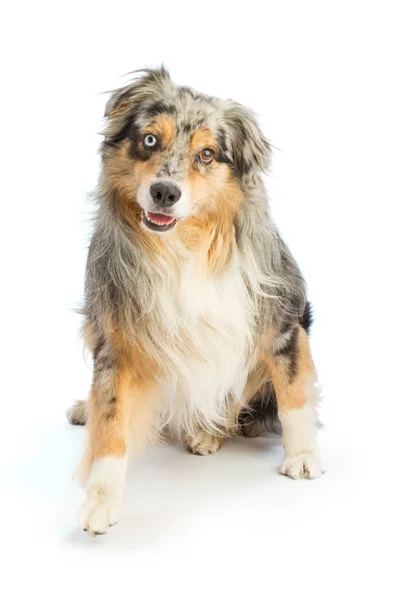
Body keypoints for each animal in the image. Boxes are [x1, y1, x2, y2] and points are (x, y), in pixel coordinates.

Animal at [67, 65, 324, 536]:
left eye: (207, 154)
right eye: (150, 139)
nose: (165, 192)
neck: (182, 246)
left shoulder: (282, 319)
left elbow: (294, 394)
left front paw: (302, 456)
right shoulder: (114, 342)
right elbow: (110, 423)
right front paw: (100, 499)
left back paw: (208, 432)